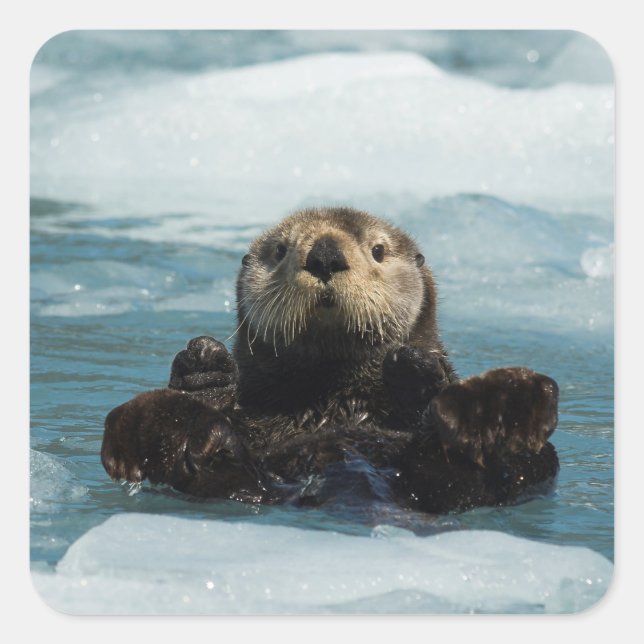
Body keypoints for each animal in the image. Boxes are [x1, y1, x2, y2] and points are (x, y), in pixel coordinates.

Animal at [101, 207, 559, 513]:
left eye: (378, 250)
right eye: (280, 250)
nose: (324, 255)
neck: (334, 400)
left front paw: (414, 367)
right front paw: (205, 368)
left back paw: (495, 407)